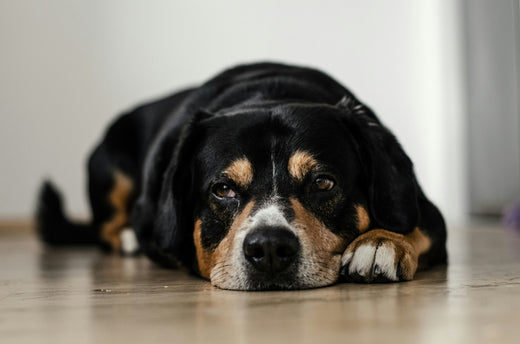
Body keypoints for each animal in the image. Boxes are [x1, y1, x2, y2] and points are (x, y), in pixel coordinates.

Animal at [35, 62, 446, 290]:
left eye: (322, 182)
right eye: (223, 189)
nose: (269, 249)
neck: (270, 94)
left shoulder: (424, 207)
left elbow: (416, 225)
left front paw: (379, 242)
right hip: (110, 167)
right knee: (105, 226)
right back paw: (127, 237)